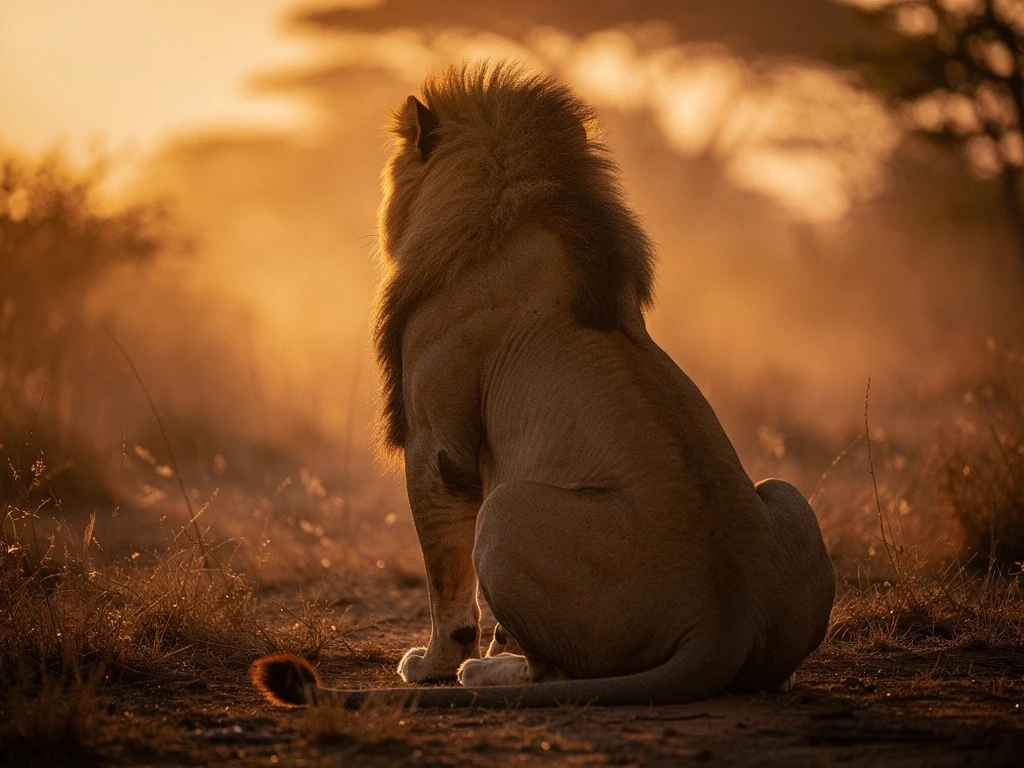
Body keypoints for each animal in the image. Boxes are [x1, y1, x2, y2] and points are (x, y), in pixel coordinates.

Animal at [251, 61, 836, 709]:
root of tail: (725, 620)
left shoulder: (436, 442)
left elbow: (443, 578)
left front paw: (433, 663)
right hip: (785, 491)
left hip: (506, 511)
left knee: (554, 674)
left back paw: (478, 673)